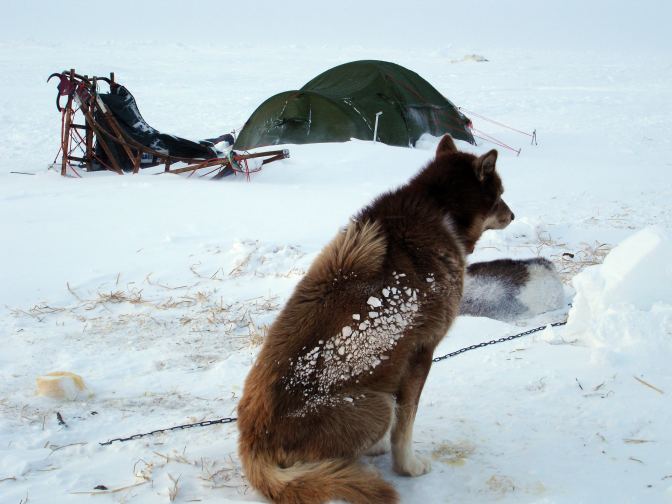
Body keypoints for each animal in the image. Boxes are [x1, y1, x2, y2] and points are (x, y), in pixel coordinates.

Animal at [236, 135, 516, 504]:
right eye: (499, 193)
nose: (512, 214)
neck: (439, 209)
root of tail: (252, 443)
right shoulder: (420, 355)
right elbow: (404, 427)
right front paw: (408, 466)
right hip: (377, 406)